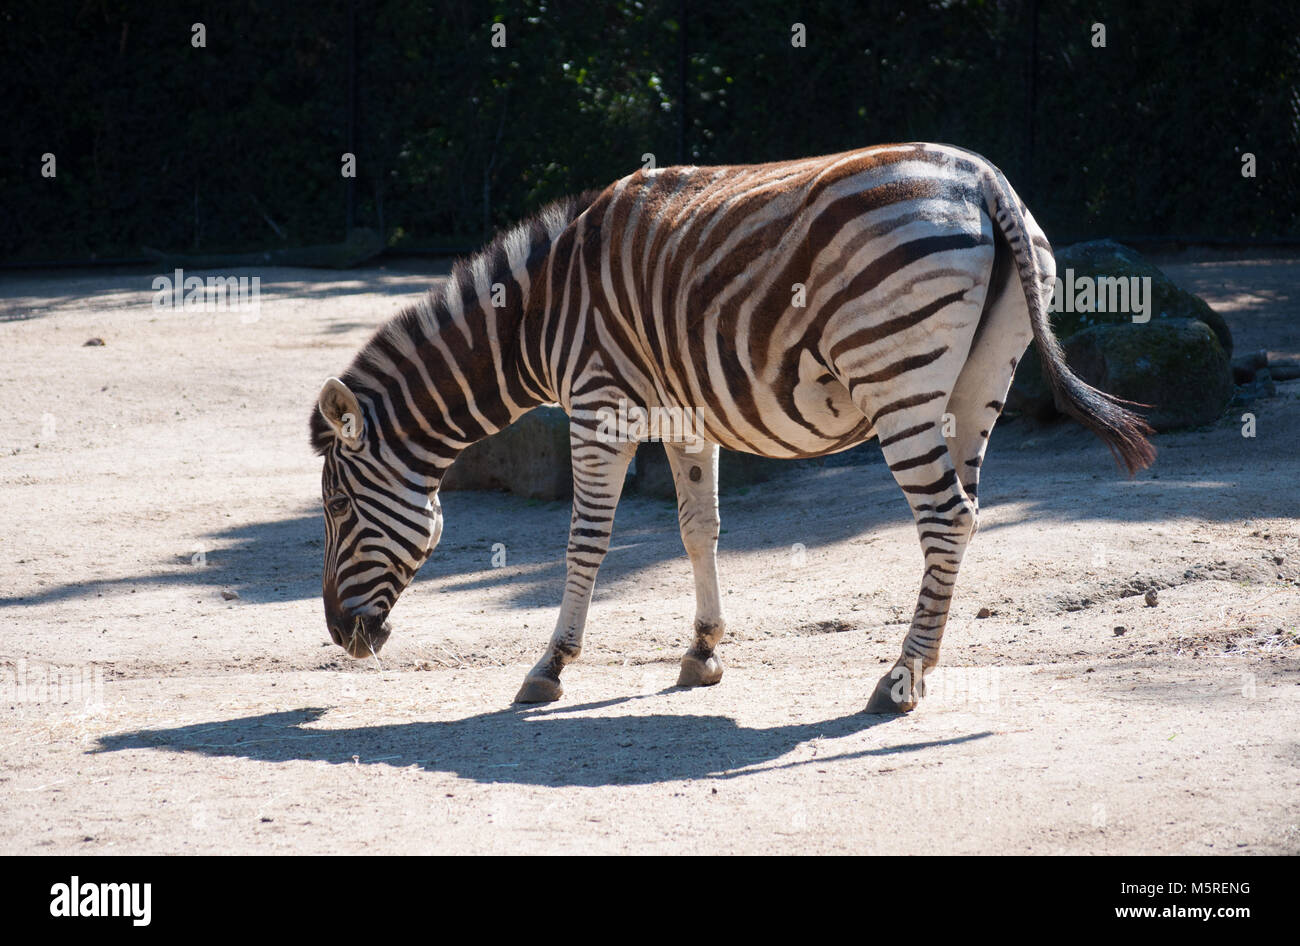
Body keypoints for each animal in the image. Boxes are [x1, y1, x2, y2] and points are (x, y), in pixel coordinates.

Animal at [310, 143, 1154, 713]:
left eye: (339, 509)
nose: (341, 635)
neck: (536, 314)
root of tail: (984, 179)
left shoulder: (597, 401)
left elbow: (586, 539)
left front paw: (550, 667)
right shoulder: (686, 415)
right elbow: (698, 529)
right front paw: (702, 651)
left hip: (899, 378)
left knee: (946, 516)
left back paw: (901, 678)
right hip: (978, 383)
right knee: (968, 514)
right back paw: (921, 664)